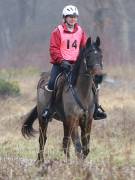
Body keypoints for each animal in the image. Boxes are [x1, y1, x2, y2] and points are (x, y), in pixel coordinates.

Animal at [21, 36, 103, 165]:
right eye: (88, 56)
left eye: (101, 56)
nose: (99, 76)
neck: (82, 92)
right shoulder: (73, 119)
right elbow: (78, 146)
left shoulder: (87, 121)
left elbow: (85, 148)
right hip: (43, 119)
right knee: (43, 139)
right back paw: (40, 161)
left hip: (65, 122)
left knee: (65, 142)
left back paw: (66, 162)